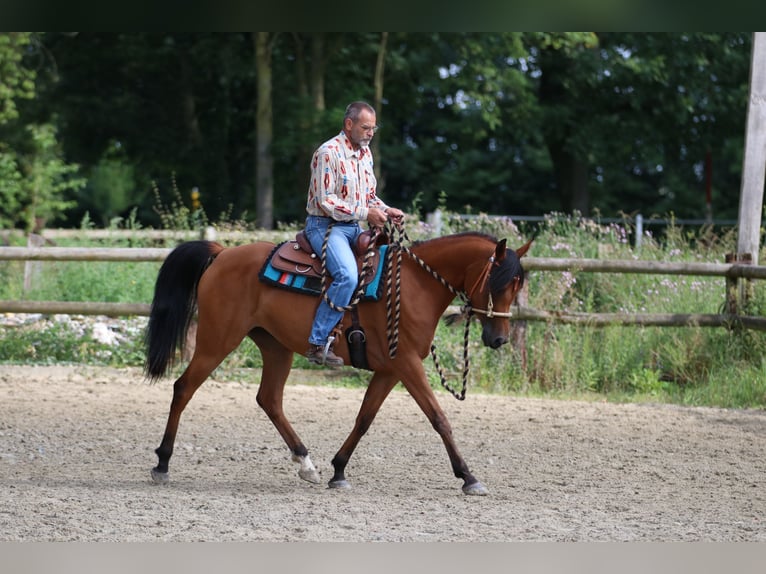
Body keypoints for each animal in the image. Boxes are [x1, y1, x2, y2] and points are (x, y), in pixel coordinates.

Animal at [147, 232, 536, 498]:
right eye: (498, 283)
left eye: (517, 285)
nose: (499, 339)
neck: (414, 285)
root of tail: (224, 253)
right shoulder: (407, 364)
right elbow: (439, 418)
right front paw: (469, 476)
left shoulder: (390, 370)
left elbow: (364, 418)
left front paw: (338, 470)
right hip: (217, 340)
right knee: (183, 388)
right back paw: (162, 463)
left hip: (275, 347)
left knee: (269, 399)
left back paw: (306, 464)